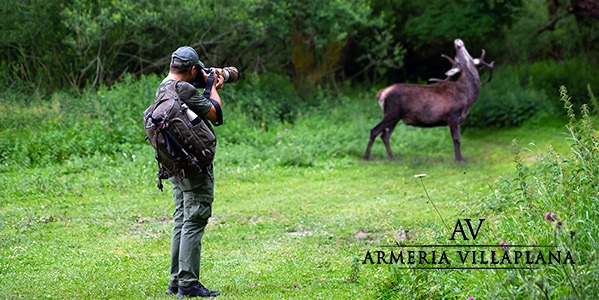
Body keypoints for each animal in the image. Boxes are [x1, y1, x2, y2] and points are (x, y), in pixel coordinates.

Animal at [364, 39, 494, 163]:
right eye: (457, 58)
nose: (458, 42)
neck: (468, 96)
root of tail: (381, 93)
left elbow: (458, 139)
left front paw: (459, 159)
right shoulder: (452, 116)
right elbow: (456, 139)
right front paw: (459, 160)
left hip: (395, 117)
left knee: (384, 136)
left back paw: (392, 157)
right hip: (391, 113)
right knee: (374, 130)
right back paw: (366, 157)